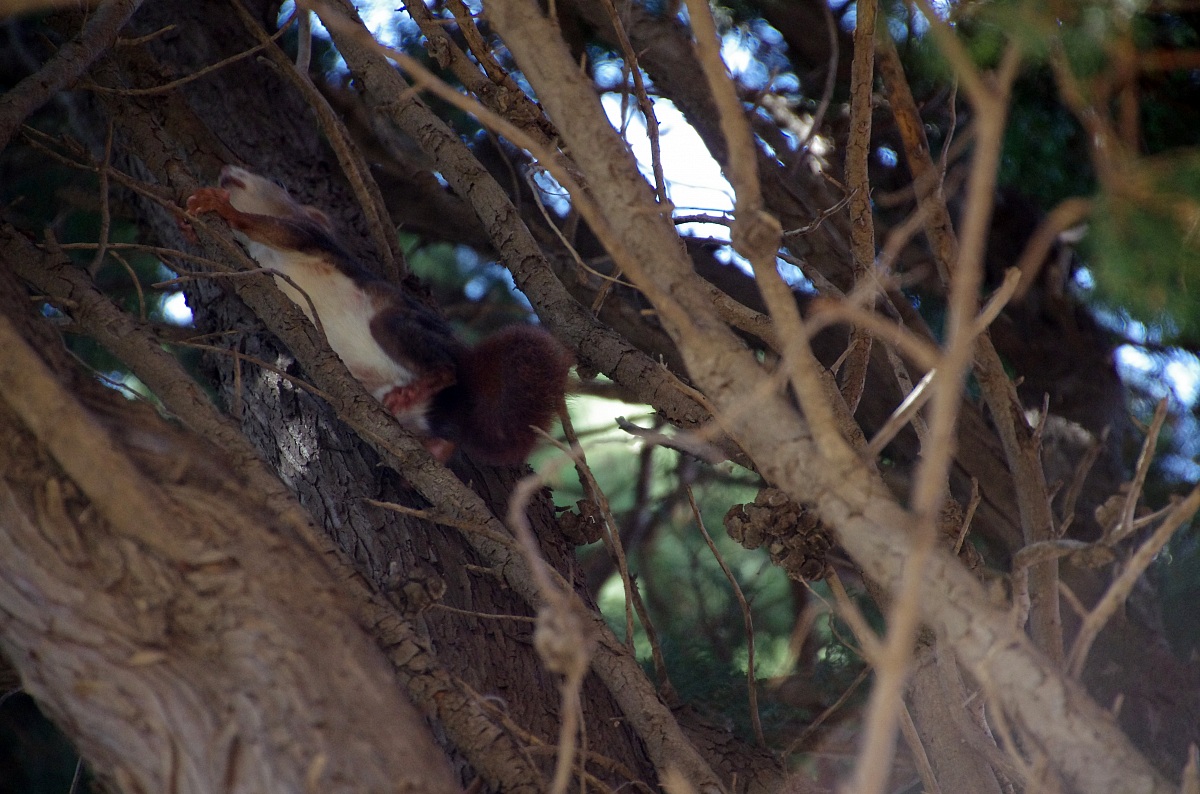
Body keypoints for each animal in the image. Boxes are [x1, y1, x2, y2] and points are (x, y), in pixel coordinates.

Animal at [185, 165, 572, 465]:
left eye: (279, 186)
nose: (227, 169)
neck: (265, 254)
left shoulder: (313, 239)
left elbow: (279, 229)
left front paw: (223, 207)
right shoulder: (255, 268)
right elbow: (235, 285)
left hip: (395, 325)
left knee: (442, 366)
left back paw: (433, 380)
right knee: (444, 433)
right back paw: (436, 446)